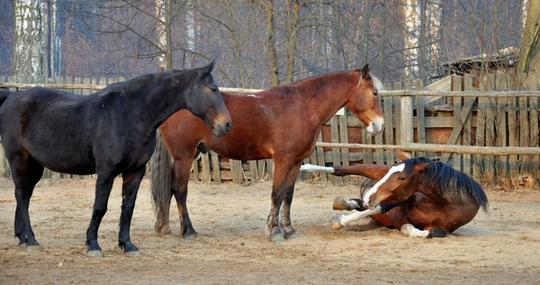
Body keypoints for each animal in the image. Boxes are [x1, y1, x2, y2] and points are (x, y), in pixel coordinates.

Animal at [0, 61, 230, 255]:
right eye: (212, 89)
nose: (226, 124)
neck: (130, 114)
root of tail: (10, 98)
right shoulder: (106, 172)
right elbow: (100, 207)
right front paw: (92, 244)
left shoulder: (135, 171)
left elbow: (128, 208)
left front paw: (127, 244)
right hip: (18, 159)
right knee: (21, 195)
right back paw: (31, 239)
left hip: (34, 165)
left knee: (24, 195)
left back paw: (22, 237)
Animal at [153, 63, 384, 240]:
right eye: (374, 93)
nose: (379, 125)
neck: (302, 106)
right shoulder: (283, 159)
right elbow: (277, 193)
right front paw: (273, 231)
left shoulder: (296, 162)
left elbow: (288, 194)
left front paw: (288, 228)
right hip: (184, 156)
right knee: (180, 190)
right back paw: (188, 231)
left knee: (171, 190)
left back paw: (165, 227)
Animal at [300, 155, 490, 237]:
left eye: (402, 178)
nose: (369, 197)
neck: (442, 203)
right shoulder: (404, 198)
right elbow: (380, 207)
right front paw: (339, 221)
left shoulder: (444, 229)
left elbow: (427, 232)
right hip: (376, 171)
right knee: (341, 169)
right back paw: (304, 167)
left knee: (358, 203)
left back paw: (346, 203)